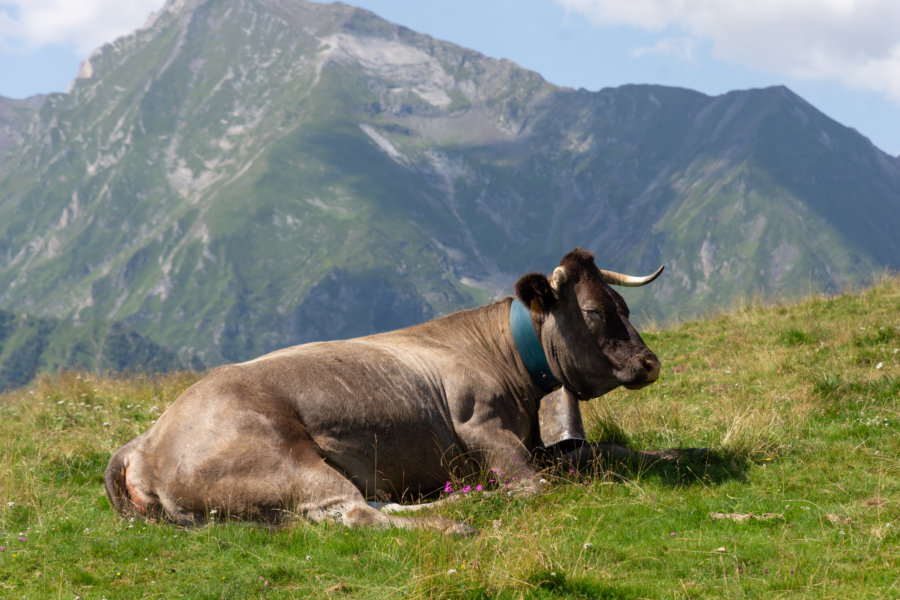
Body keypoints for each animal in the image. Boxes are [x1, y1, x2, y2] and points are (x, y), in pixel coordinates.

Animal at [107, 248, 684, 536]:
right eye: (593, 311)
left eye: (624, 305)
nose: (649, 363)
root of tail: (144, 444)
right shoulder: (486, 429)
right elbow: (535, 486)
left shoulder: (537, 443)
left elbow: (609, 450)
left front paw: (679, 455)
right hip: (281, 460)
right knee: (355, 513)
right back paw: (458, 520)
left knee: (367, 504)